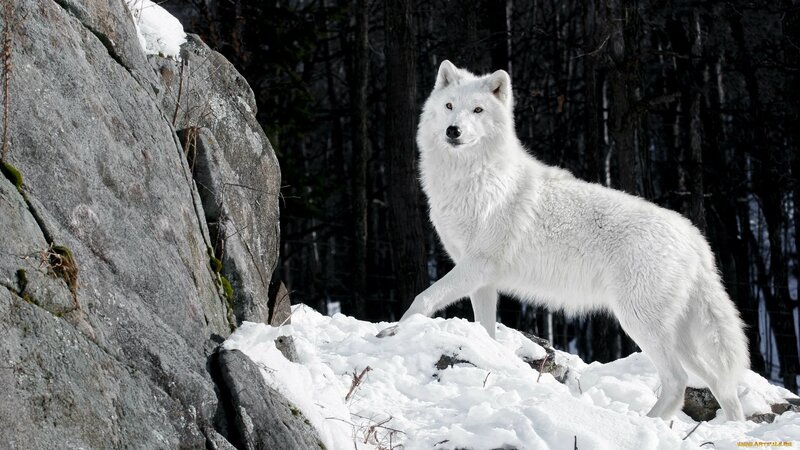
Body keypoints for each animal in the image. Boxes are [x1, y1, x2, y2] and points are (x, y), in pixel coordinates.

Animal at [380, 60, 749, 421]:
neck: (473, 179)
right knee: (719, 383)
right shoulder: (482, 280)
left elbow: (423, 299)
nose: (453, 131)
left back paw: (645, 422)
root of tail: (694, 237)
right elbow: (485, 329)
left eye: (478, 110)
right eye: (449, 106)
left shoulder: (477, 266)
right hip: (677, 337)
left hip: (639, 323)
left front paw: (392, 332)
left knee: (678, 381)